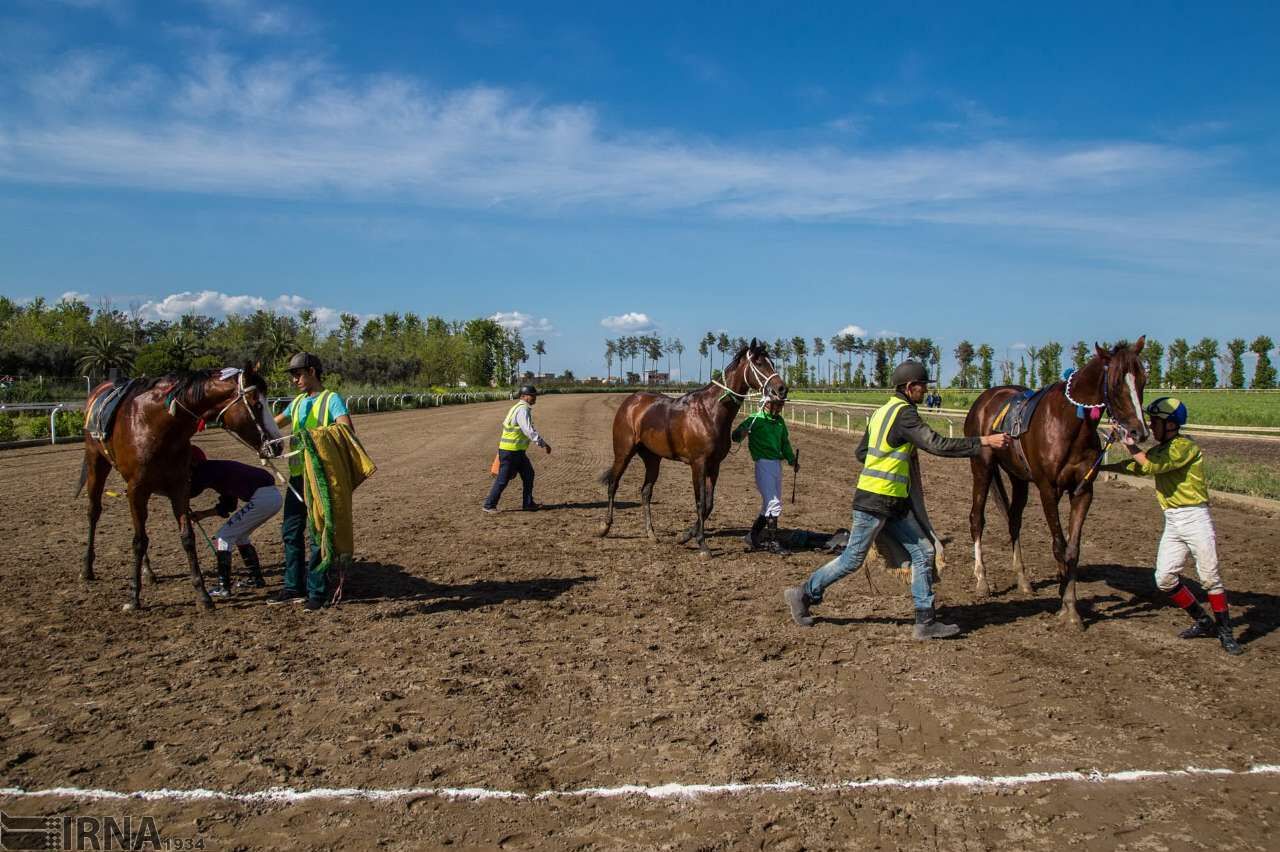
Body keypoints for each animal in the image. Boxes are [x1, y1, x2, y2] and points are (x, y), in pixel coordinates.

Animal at [79, 365, 282, 611]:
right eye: (257, 404)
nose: (278, 444)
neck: (156, 424)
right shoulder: (138, 487)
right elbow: (139, 541)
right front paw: (134, 597)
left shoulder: (179, 486)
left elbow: (187, 536)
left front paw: (202, 594)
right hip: (96, 462)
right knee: (94, 512)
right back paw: (87, 568)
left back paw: (148, 571)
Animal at [599, 337, 788, 557]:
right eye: (759, 363)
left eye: (772, 362)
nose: (782, 389)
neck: (709, 412)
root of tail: (630, 401)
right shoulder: (698, 464)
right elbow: (700, 502)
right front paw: (702, 545)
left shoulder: (714, 465)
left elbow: (709, 504)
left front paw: (685, 535)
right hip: (623, 452)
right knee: (613, 484)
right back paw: (605, 527)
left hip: (652, 458)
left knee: (645, 492)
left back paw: (651, 534)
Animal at [967, 337, 1152, 624]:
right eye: (1116, 382)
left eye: (1143, 379)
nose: (1139, 431)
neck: (1069, 425)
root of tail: (985, 398)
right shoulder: (1047, 489)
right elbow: (1058, 544)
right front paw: (1065, 602)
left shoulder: (1083, 491)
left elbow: (1072, 549)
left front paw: (1070, 606)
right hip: (982, 467)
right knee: (977, 518)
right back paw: (982, 580)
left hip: (1018, 476)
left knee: (1013, 520)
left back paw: (1023, 580)